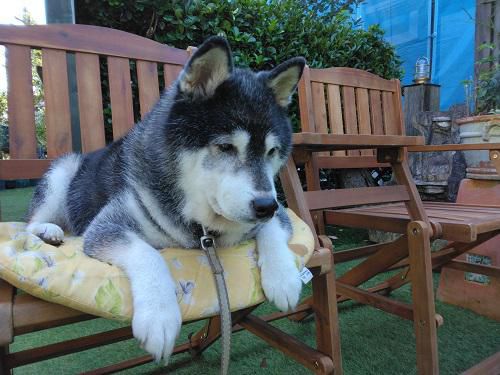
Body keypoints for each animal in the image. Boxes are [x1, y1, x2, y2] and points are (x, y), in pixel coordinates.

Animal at [27, 36, 306, 362]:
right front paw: (159, 315)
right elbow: (148, 253)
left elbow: (274, 229)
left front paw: (283, 278)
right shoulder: (107, 225)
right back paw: (49, 230)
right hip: (63, 170)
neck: (199, 224)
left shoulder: (279, 210)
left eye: (272, 152)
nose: (264, 206)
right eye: (225, 147)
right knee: (30, 223)